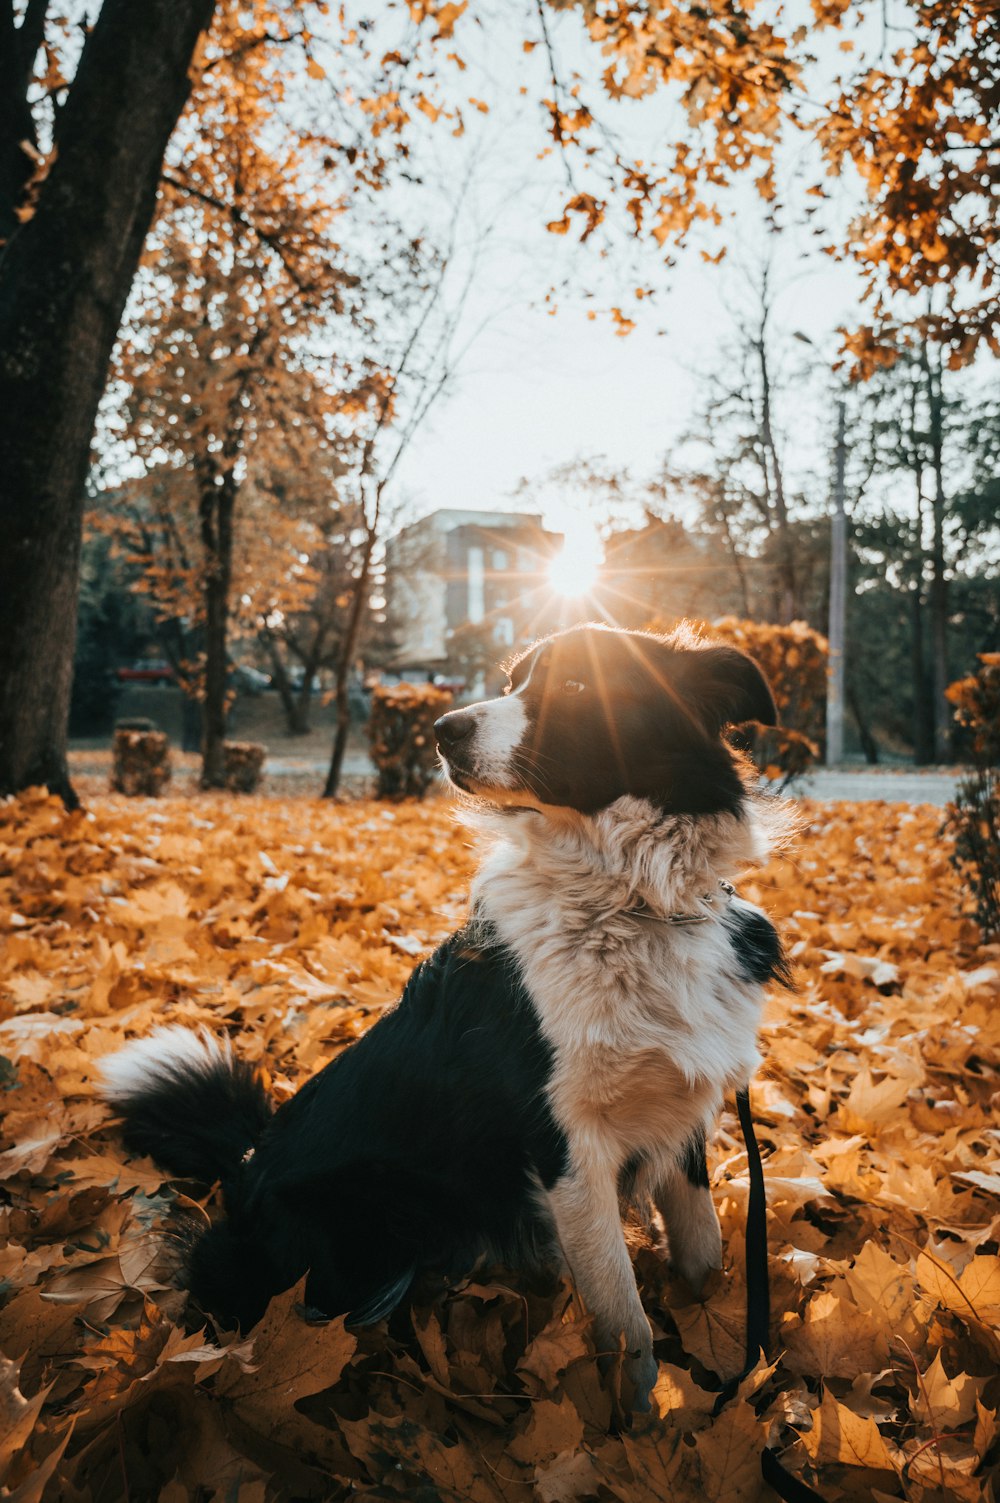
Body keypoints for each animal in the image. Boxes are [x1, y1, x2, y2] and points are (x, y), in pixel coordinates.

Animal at [101, 619, 787, 1406]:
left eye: (578, 683)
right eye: (514, 680)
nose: (442, 729)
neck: (631, 903)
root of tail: (246, 1161)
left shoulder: (679, 1104)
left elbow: (705, 1255)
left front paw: (720, 1359)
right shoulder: (566, 1144)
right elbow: (626, 1322)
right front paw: (637, 1419)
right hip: (362, 1238)